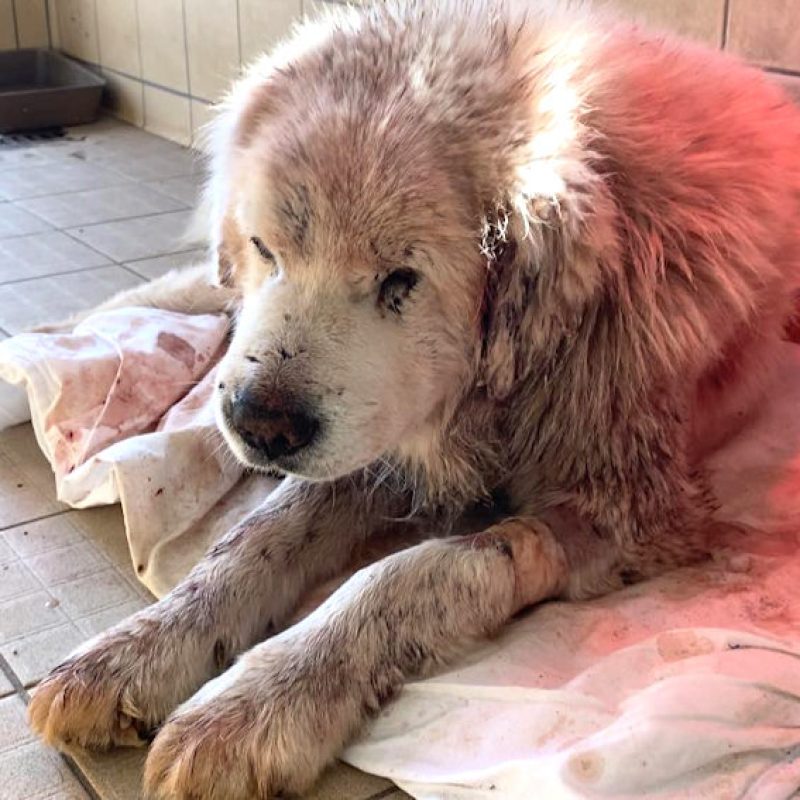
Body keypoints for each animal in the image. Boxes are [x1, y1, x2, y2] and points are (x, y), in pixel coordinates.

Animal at [25, 0, 800, 796]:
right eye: (268, 249)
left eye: (401, 279)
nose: (259, 425)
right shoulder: (376, 440)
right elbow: (255, 537)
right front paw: (139, 647)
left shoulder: (635, 513)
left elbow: (415, 573)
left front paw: (262, 700)